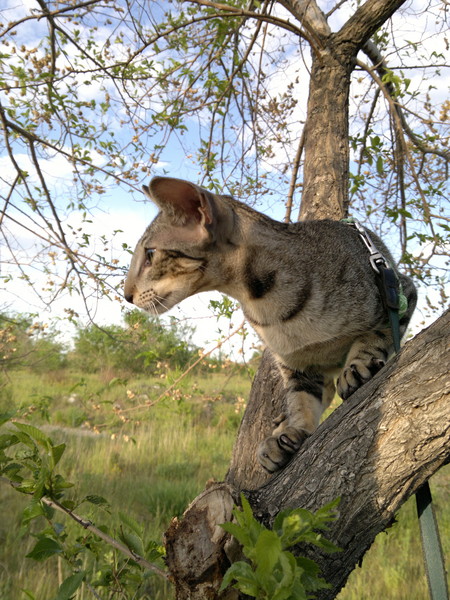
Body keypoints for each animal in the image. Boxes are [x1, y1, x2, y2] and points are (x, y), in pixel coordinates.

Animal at [124, 177, 418, 474]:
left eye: (150, 254)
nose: (126, 294)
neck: (268, 307)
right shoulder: (296, 365)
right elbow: (301, 400)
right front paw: (295, 429)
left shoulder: (400, 292)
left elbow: (375, 336)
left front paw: (358, 366)